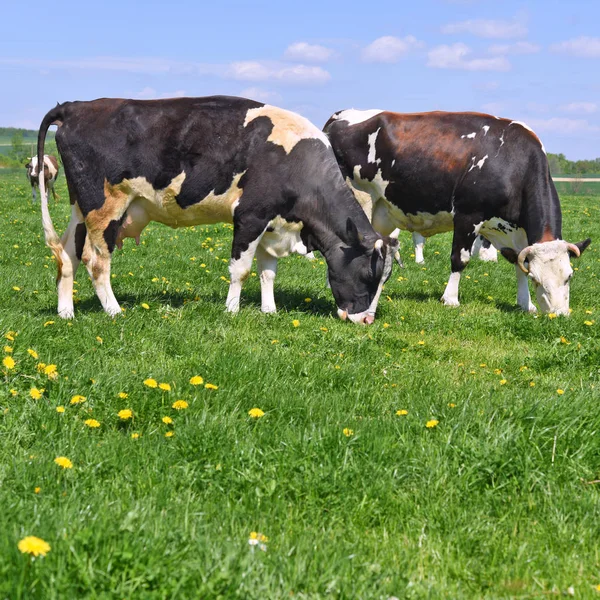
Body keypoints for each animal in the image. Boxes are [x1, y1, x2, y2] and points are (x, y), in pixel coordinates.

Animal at [34, 95, 398, 324]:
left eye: (386, 279)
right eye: (369, 275)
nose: (366, 320)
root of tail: (75, 107)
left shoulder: (272, 223)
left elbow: (268, 271)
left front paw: (269, 311)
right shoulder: (251, 215)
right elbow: (242, 269)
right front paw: (232, 310)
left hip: (80, 206)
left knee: (66, 254)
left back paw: (66, 313)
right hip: (105, 206)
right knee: (95, 261)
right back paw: (114, 311)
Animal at [324, 109, 592, 314]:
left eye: (569, 276)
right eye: (538, 279)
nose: (558, 314)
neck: (513, 162)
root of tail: (341, 115)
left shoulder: (514, 231)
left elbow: (518, 263)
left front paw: (526, 304)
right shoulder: (468, 216)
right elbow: (459, 259)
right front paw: (450, 298)